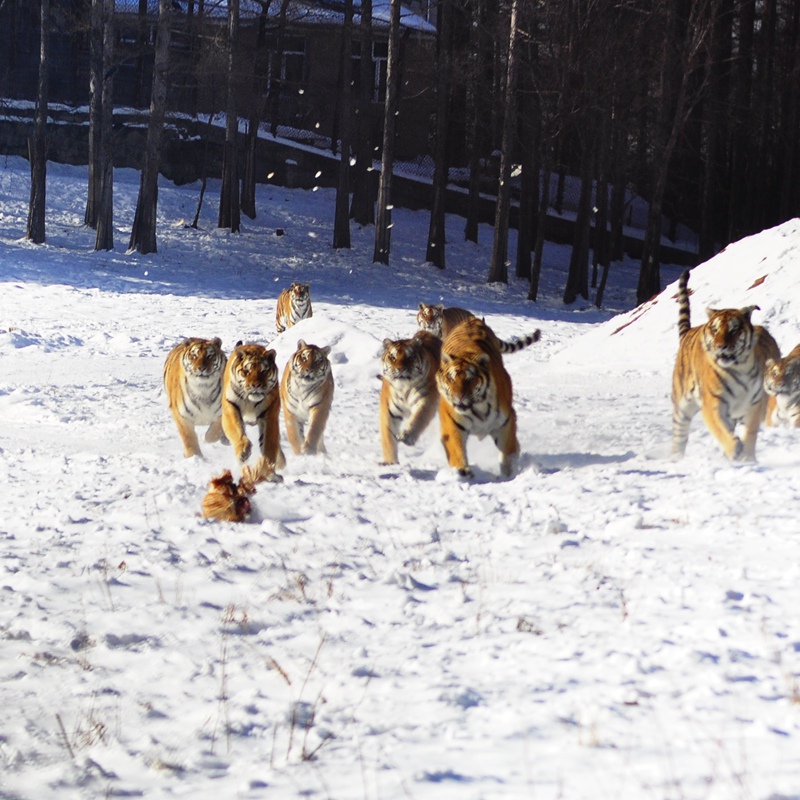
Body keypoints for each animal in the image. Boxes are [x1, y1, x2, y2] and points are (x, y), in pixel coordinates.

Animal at [222, 342, 288, 482]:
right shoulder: (231, 408)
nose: (256, 385)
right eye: (247, 371)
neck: (250, 401)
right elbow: (237, 431)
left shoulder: (269, 416)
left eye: (264, 371)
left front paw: (268, 471)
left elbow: (269, 444)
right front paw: (243, 452)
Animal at [382, 330, 444, 462]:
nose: (400, 369)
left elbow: (418, 419)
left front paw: (407, 436)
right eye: (393, 357)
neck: (404, 388)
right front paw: (390, 463)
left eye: (410, 357)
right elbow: (388, 437)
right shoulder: (388, 410)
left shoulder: (426, 401)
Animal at [434, 316, 540, 478]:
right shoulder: (452, 424)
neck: (477, 407)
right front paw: (463, 471)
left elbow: (507, 452)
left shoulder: (505, 423)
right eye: (451, 378)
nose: (459, 397)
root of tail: (473, 318)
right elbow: (456, 449)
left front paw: (510, 475)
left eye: (470, 379)